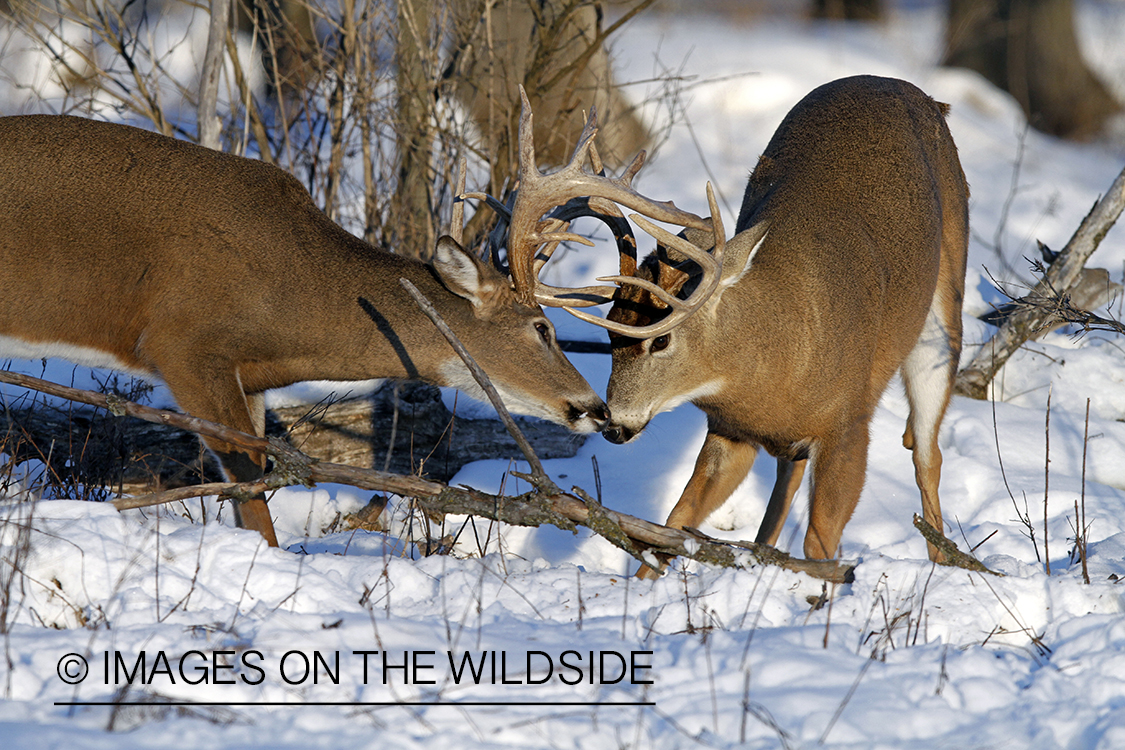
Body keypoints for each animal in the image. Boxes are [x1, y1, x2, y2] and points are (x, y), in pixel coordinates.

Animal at [0, 113, 625, 546]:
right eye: (541, 327)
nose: (597, 409)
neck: (290, 296)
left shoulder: (247, 378)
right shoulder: (181, 343)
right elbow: (248, 483)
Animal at [567, 77, 972, 575]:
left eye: (660, 339)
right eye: (610, 332)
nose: (614, 427)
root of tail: (922, 94)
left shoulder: (849, 422)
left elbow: (820, 542)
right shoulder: (730, 430)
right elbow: (675, 520)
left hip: (945, 301)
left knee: (927, 452)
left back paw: (944, 563)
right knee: (789, 472)